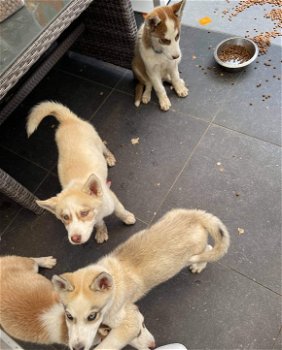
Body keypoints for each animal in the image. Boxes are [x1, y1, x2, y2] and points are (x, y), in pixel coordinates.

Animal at [26, 100, 135, 245]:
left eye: (84, 213)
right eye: (65, 217)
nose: (75, 239)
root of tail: (68, 120)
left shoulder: (112, 200)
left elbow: (120, 210)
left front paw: (127, 217)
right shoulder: (96, 217)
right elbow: (99, 223)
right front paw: (101, 231)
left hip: (97, 141)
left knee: (105, 148)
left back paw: (109, 157)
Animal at [52, 208, 229, 350]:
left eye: (92, 317)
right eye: (69, 316)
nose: (77, 348)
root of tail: (196, 216)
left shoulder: (128, 323)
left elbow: (107, 345)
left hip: (192, 254)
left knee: (208, 249)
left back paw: (198, 266)